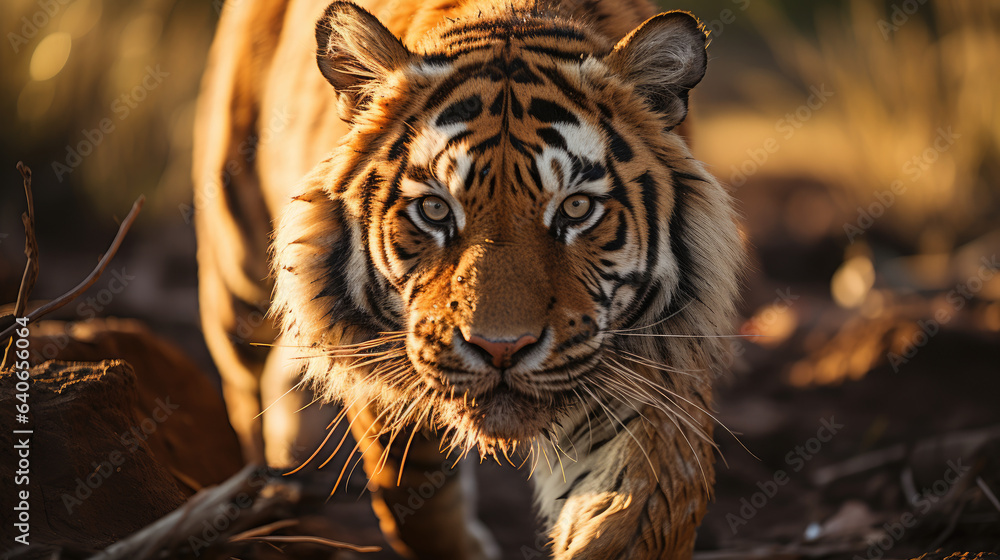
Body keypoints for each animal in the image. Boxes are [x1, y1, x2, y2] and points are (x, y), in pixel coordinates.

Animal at [193, 1, 744, 560]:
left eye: (576, 208)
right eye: (435, 209)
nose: (501, 348)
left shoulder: (657, 372)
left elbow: (630, 516)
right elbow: (415, 506)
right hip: (235, 281)